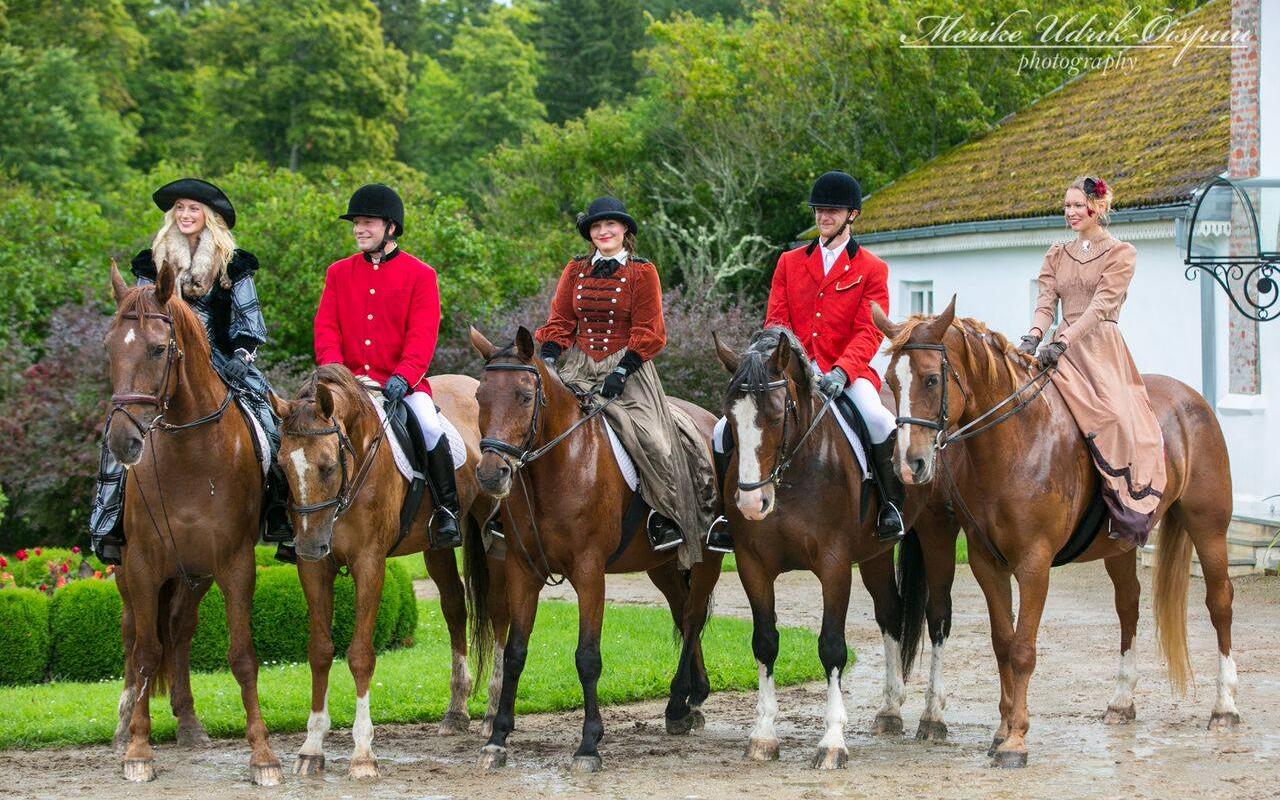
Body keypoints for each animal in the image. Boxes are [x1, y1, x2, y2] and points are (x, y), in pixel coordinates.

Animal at [104, 262, 280, 778]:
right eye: (109, 347)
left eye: (158, 348)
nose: (122, 441)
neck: (190, 456)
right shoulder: (142, 566)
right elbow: (146, 654)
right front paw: (138, 750)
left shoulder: (235, 564)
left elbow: (242, 655)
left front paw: (262, 754)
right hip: (129, 574)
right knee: (133, 636)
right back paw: (124, 724)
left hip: (194, 574)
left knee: (179, 630)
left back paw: (188, 722)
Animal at [270, 366, 499, 778]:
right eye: (282, 466)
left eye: (328, 466)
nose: (308, 545)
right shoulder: (315, 571)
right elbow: (319, 651)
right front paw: (312, 746)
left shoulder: (369, 564)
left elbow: (361, 654)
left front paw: (362, 754)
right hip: (435, 548)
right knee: (455, 607)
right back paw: (456, 711)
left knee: (500, 612)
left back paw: (492, 713)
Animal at [471, 326, 732, 773]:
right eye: (479, 397)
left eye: (524, 396)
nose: (491, 474)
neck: (560, 465)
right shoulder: (523, 572)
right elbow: (516, 655)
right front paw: (498, 739)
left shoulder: (589, 573)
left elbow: (588, 657)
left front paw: (589, 743)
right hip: (662, 565)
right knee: (682, 614)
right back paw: (691, 697)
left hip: (707, 558)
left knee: (693, 617)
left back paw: (677, 702)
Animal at [711, 330, 962, 768]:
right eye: (731, 417)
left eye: (776, 415)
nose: (751, 504)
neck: (794, 471)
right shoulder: (752, 565)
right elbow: (765, 642)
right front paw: (763, 735)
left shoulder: (834, 566)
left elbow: (831, 647)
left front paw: (831, 741)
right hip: (877, 554)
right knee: (890, 614)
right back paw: (890, 710)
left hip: (938, 537)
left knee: (938, 618)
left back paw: (932, 717)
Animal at [875, 299, 1233, 768]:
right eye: (889, 381)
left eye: (932, 378)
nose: (909, 464)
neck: (1015, 443)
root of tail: (1193, 399)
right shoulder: (987, 564)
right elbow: (1003, 644)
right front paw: (1002, 730)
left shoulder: (1034, 565)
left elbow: (1023, 650)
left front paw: (1016, 740)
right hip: (1120, 546)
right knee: (1128, 607)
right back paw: (1122, 702)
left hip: (1209, 529)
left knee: (1219, 604)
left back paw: (1224, 708)